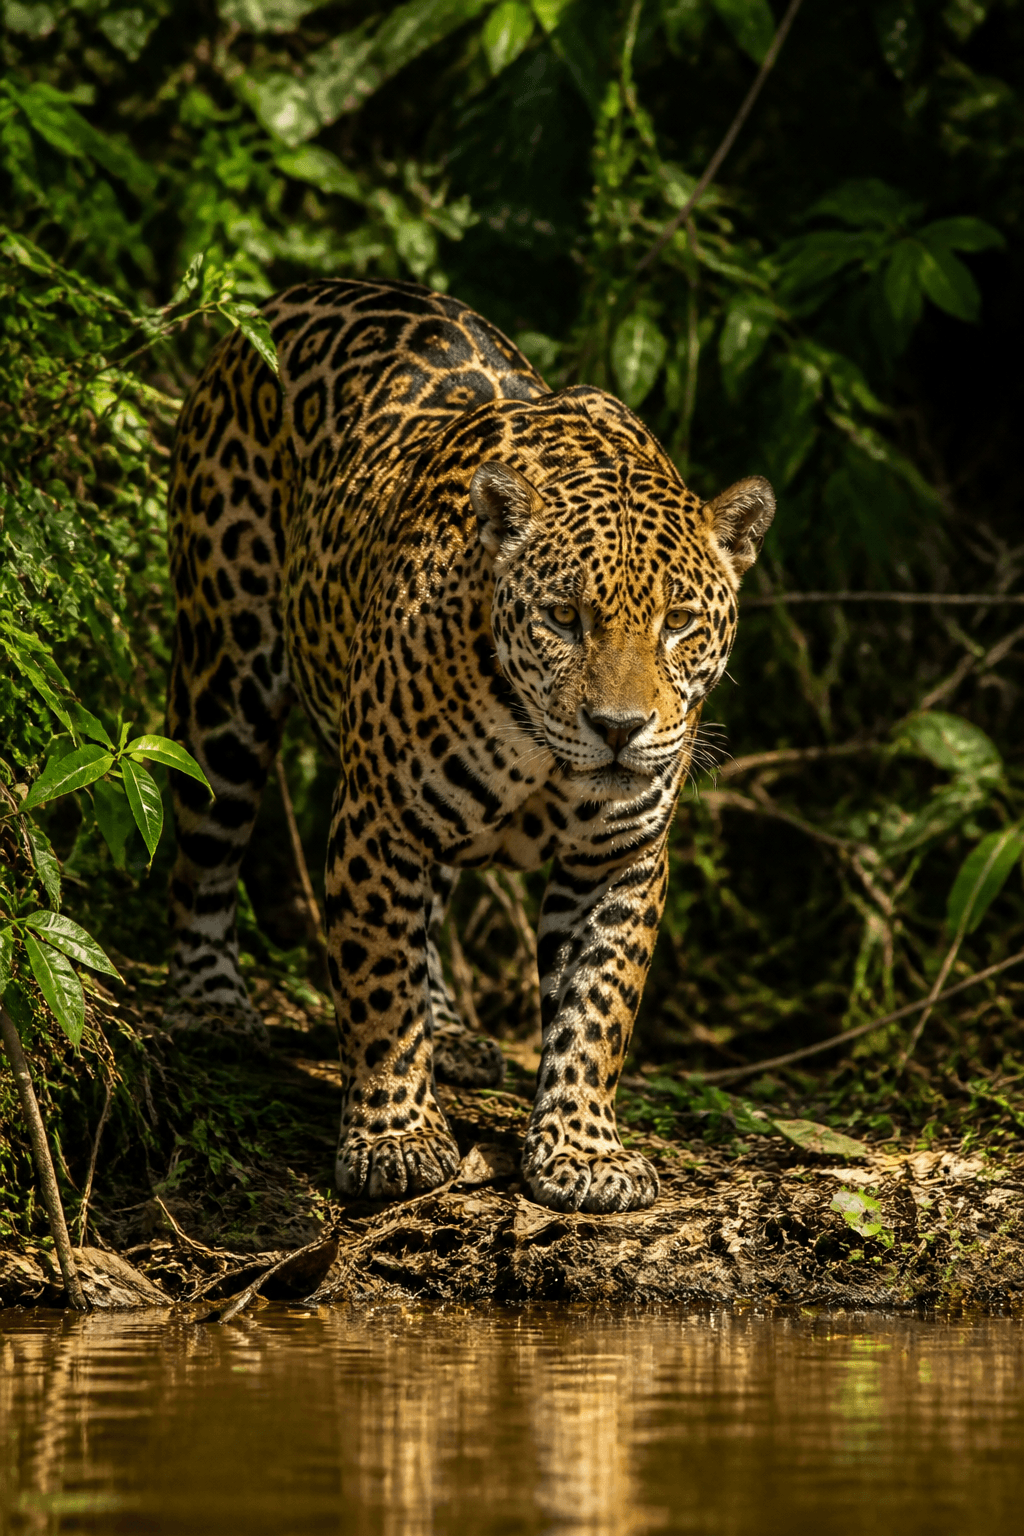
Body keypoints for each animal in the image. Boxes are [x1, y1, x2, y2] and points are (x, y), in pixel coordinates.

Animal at [165, 277, 774, 1214]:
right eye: (563, 616)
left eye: (678, 623)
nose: (619, 730)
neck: (545, 754)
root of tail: (284, 296)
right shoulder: (378, 821)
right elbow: (378, 987)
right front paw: (395, 1139)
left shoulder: (620, 857)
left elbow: (598, 1008)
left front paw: (583, 1150)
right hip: (224, 674)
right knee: (206, 844)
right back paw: (211, 1007)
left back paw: (449, 1031)